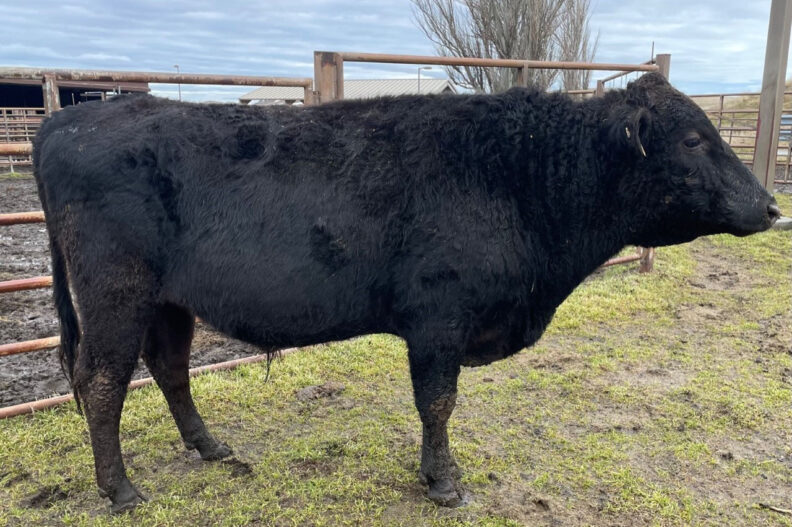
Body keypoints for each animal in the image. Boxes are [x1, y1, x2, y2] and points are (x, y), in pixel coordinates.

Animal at [33, 72, 780, 512]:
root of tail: (70, 121)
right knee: (101, 383)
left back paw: (210, 447)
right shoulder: (439, 319)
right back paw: (121, 490)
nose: (772, 205)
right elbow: (438, 403)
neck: (516, 173)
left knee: (169, 368)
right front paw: (444, 481)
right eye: (694, 138)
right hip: (115, 293)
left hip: (167, 300)